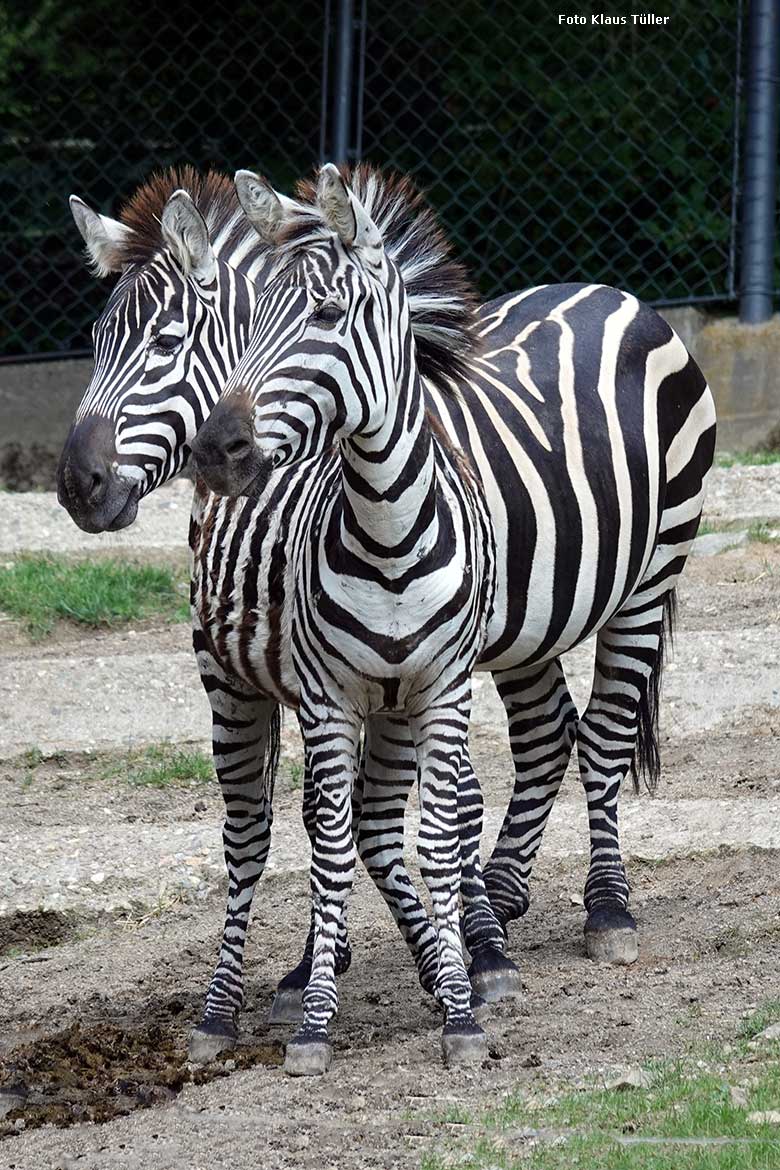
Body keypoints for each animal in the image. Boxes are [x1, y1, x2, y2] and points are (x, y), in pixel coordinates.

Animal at [56, 167, 720, 1071]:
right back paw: (505, 890)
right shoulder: (317, 675)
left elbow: (441, 808)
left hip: (651, 575)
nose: (76, 485)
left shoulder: (431, 661)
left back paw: (604, 908)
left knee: (606, 733)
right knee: (548, 734)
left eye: (165, 343)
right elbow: (325, 821)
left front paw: (472, 956)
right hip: (529, 630)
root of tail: (609, 291)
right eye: (95, 342)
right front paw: (321, 968)